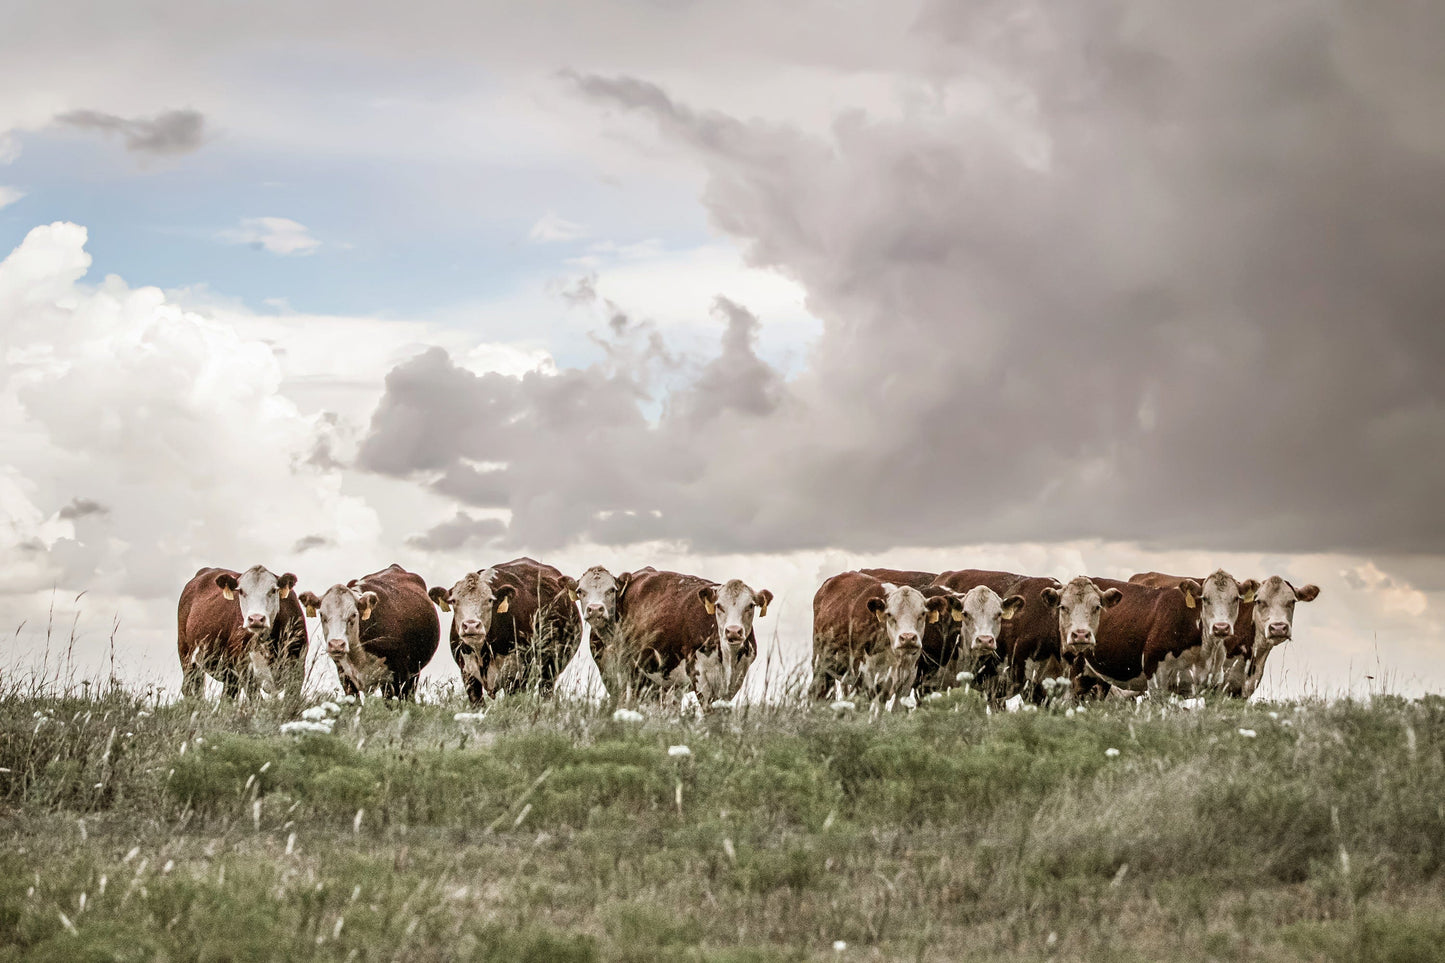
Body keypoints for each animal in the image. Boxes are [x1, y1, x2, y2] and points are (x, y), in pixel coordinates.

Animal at [177, 563, 307, 696]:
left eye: (273, 590)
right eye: (241, 591)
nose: (256, 619)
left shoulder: (298, 669)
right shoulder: (245, 670)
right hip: (186, 654)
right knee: (190, 689)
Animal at [299, 563, 439, 696]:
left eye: (353, 615)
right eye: (322, 614)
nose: (336, 645)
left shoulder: (398, 677)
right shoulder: (345, 677)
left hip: (413, 673)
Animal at [424, 555, 578, 696]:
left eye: (490, 600)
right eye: (454, 601)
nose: (471, 625)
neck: (483, 652)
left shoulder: (516, 677)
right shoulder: (468, 676)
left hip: (549, 671)